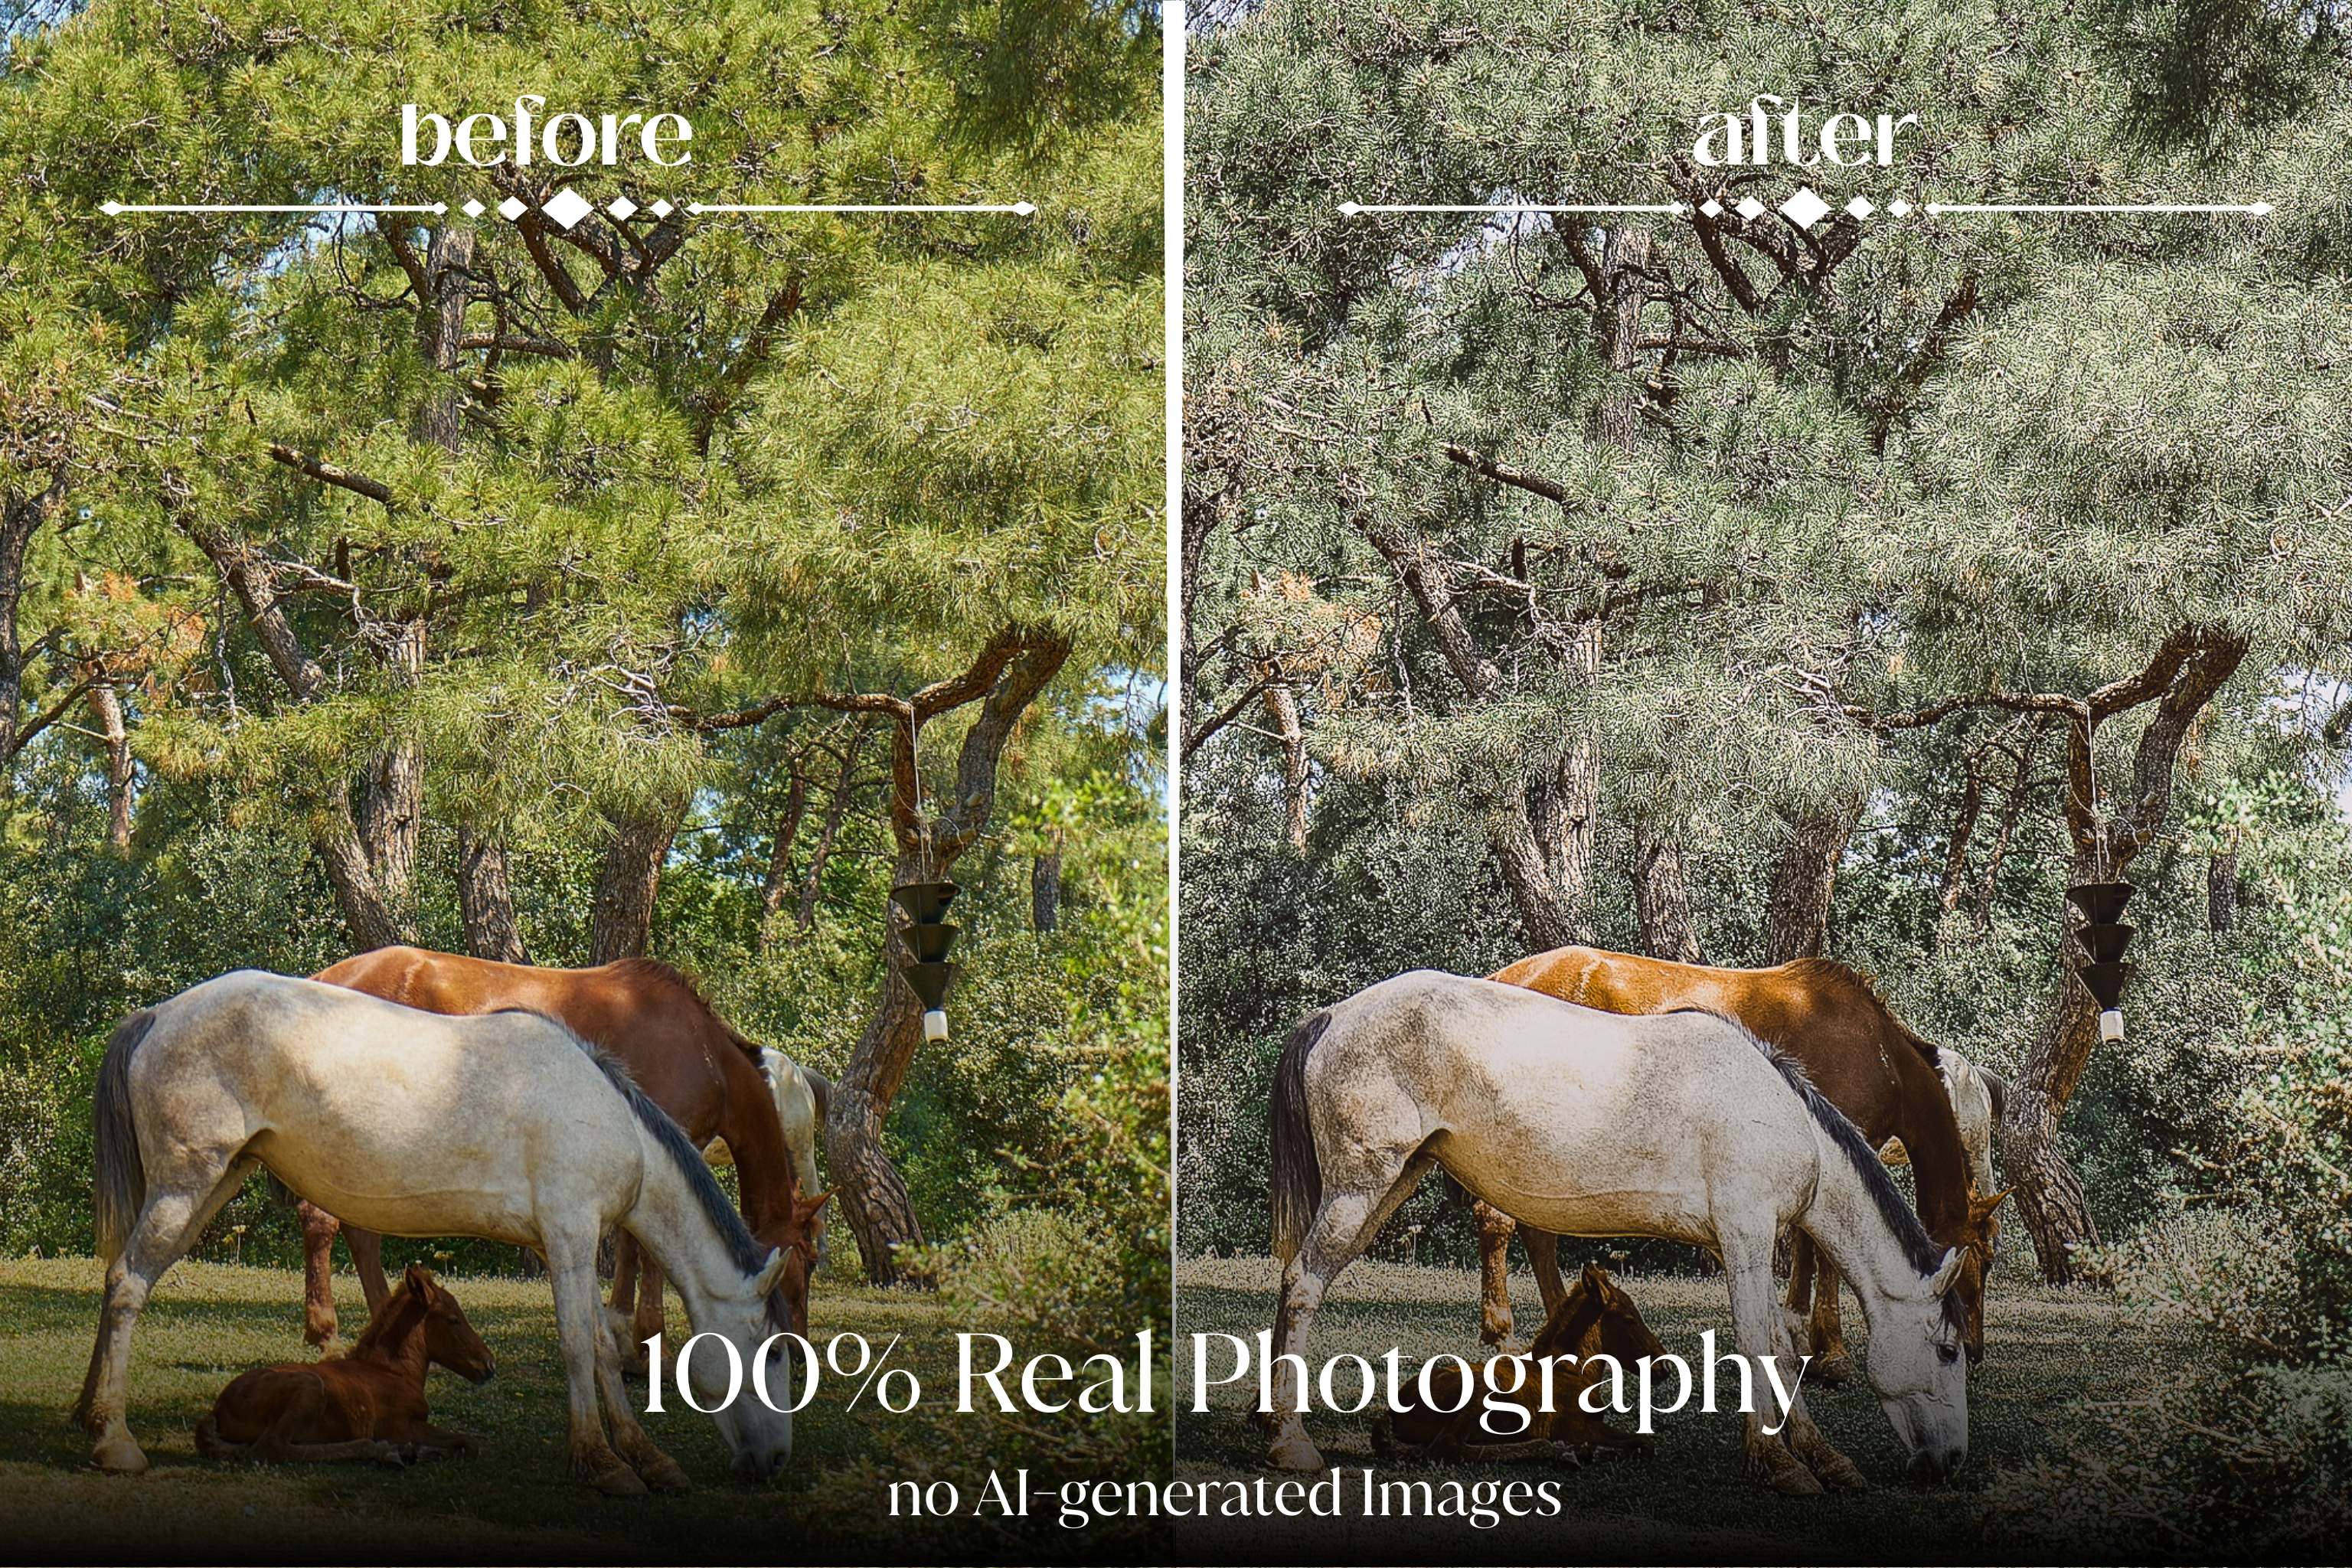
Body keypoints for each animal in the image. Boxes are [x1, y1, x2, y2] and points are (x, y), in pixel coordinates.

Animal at [196, 1264, 493, 1466]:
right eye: (453, 1320)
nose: (488, 1364)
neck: (393, 1372)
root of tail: (219, 1406)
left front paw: (423, 1451)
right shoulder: (397, 1425)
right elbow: (470, 1442)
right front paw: (414, 1450)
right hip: (310, 1387)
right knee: (271, 1448)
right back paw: (382, 1451)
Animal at [298, 947, 829, 1353]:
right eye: (805, 1262)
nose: (798, 1348)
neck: (703, 1051)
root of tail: (325, 978)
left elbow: (632, 1245)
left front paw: (626, 1333)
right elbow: (648, 1249)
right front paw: (646, 1340)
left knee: (355, 1228)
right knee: (322, 1221)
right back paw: (326, 1330)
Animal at [1370, 1262, 1665, 1465]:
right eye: (1629, 1319)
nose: (1663, 1369)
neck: (1575, 1372)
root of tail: (1396, 1408)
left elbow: (1644, 1442)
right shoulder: (1575, 1426)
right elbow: (1643, 1442)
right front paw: (1588, 1449)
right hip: (1481, 1391)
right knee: (1448, 1447)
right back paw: (1561, 1452)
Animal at [1476, 948, 2004, 1382]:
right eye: (1982, 1261)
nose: (1975, 1349)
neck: (1878, 1052)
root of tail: (1504, 977)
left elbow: (1810, 1249)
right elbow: (1824, 1253)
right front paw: (1828, 1351)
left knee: (1534, 1230)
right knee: (1499, 1222)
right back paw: (1506, 1333)